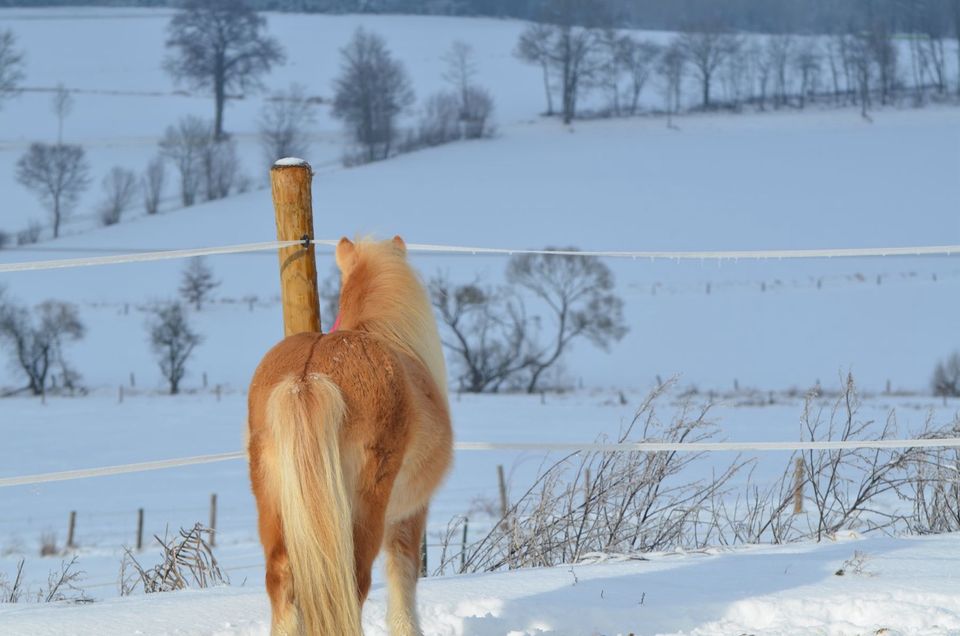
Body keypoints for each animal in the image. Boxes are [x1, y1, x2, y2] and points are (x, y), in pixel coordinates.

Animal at [248, 236, 450, 632]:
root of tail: (306, 377)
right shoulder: (410, 513)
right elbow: (404, 576)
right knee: (352, 581)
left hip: (273, 502)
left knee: (281, 581)